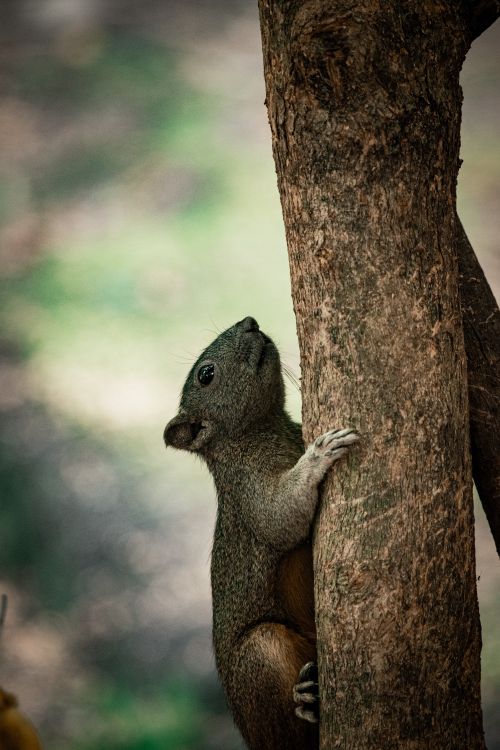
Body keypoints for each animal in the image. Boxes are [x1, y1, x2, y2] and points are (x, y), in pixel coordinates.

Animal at [164, 316, 358, 750]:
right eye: (206, 375)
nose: (249, 322)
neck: (265, 431)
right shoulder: (248, 491)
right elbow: (279, 518)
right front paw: (319, 454)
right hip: (261, 654)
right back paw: (308, 701)